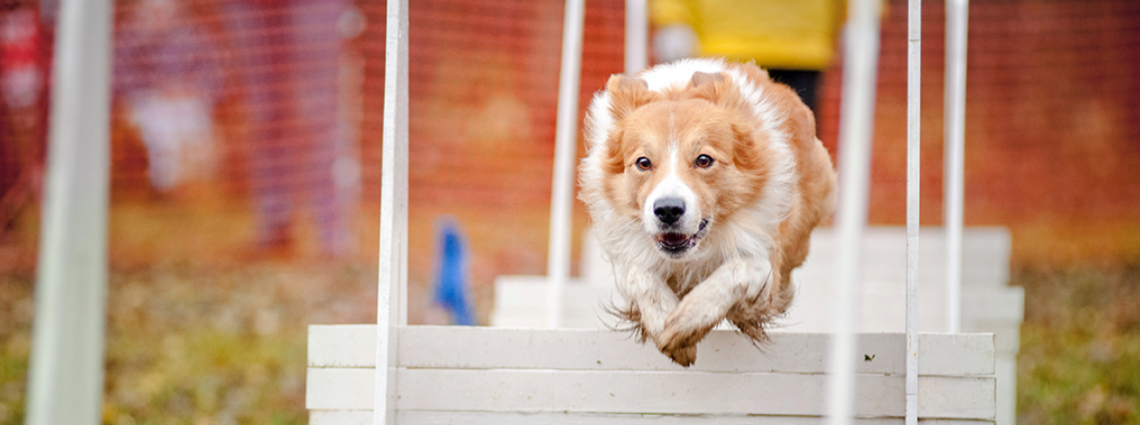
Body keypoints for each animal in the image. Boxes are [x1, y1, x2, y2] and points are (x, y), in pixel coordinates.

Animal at [579, 58, 839, 364]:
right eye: (643, 162)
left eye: (704, 160)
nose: (667, 210)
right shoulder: (627, 249)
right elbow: (639, 275)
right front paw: (664, 319)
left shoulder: (762, 255)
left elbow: (741, 269)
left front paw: (684, 323)